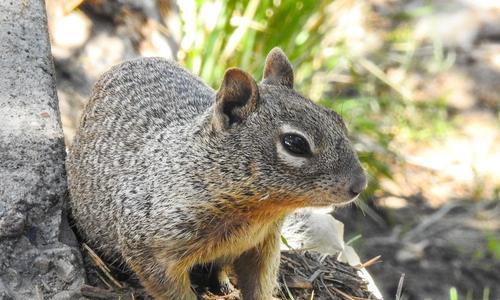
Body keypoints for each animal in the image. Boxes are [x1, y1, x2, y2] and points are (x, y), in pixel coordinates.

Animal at [67, 48, 368, 298]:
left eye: (337, 119)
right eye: (295, 143)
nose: (361, 184)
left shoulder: (263, 246)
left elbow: (260, 284)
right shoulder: (151, 249)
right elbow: (170, 289)